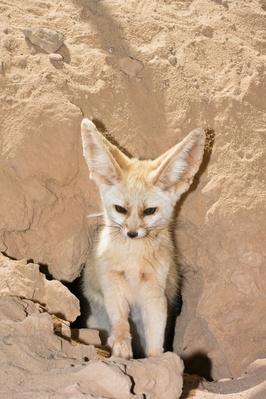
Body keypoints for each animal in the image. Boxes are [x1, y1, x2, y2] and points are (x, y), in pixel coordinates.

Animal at [81, 119, 206, 360]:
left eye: (149, 211)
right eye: (120, 209)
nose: (131, 233)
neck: (132, 261)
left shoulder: (155, 293)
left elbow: (155, 339)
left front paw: (156, 361)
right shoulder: (112, 284)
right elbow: (120, 320)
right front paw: (121, 345)